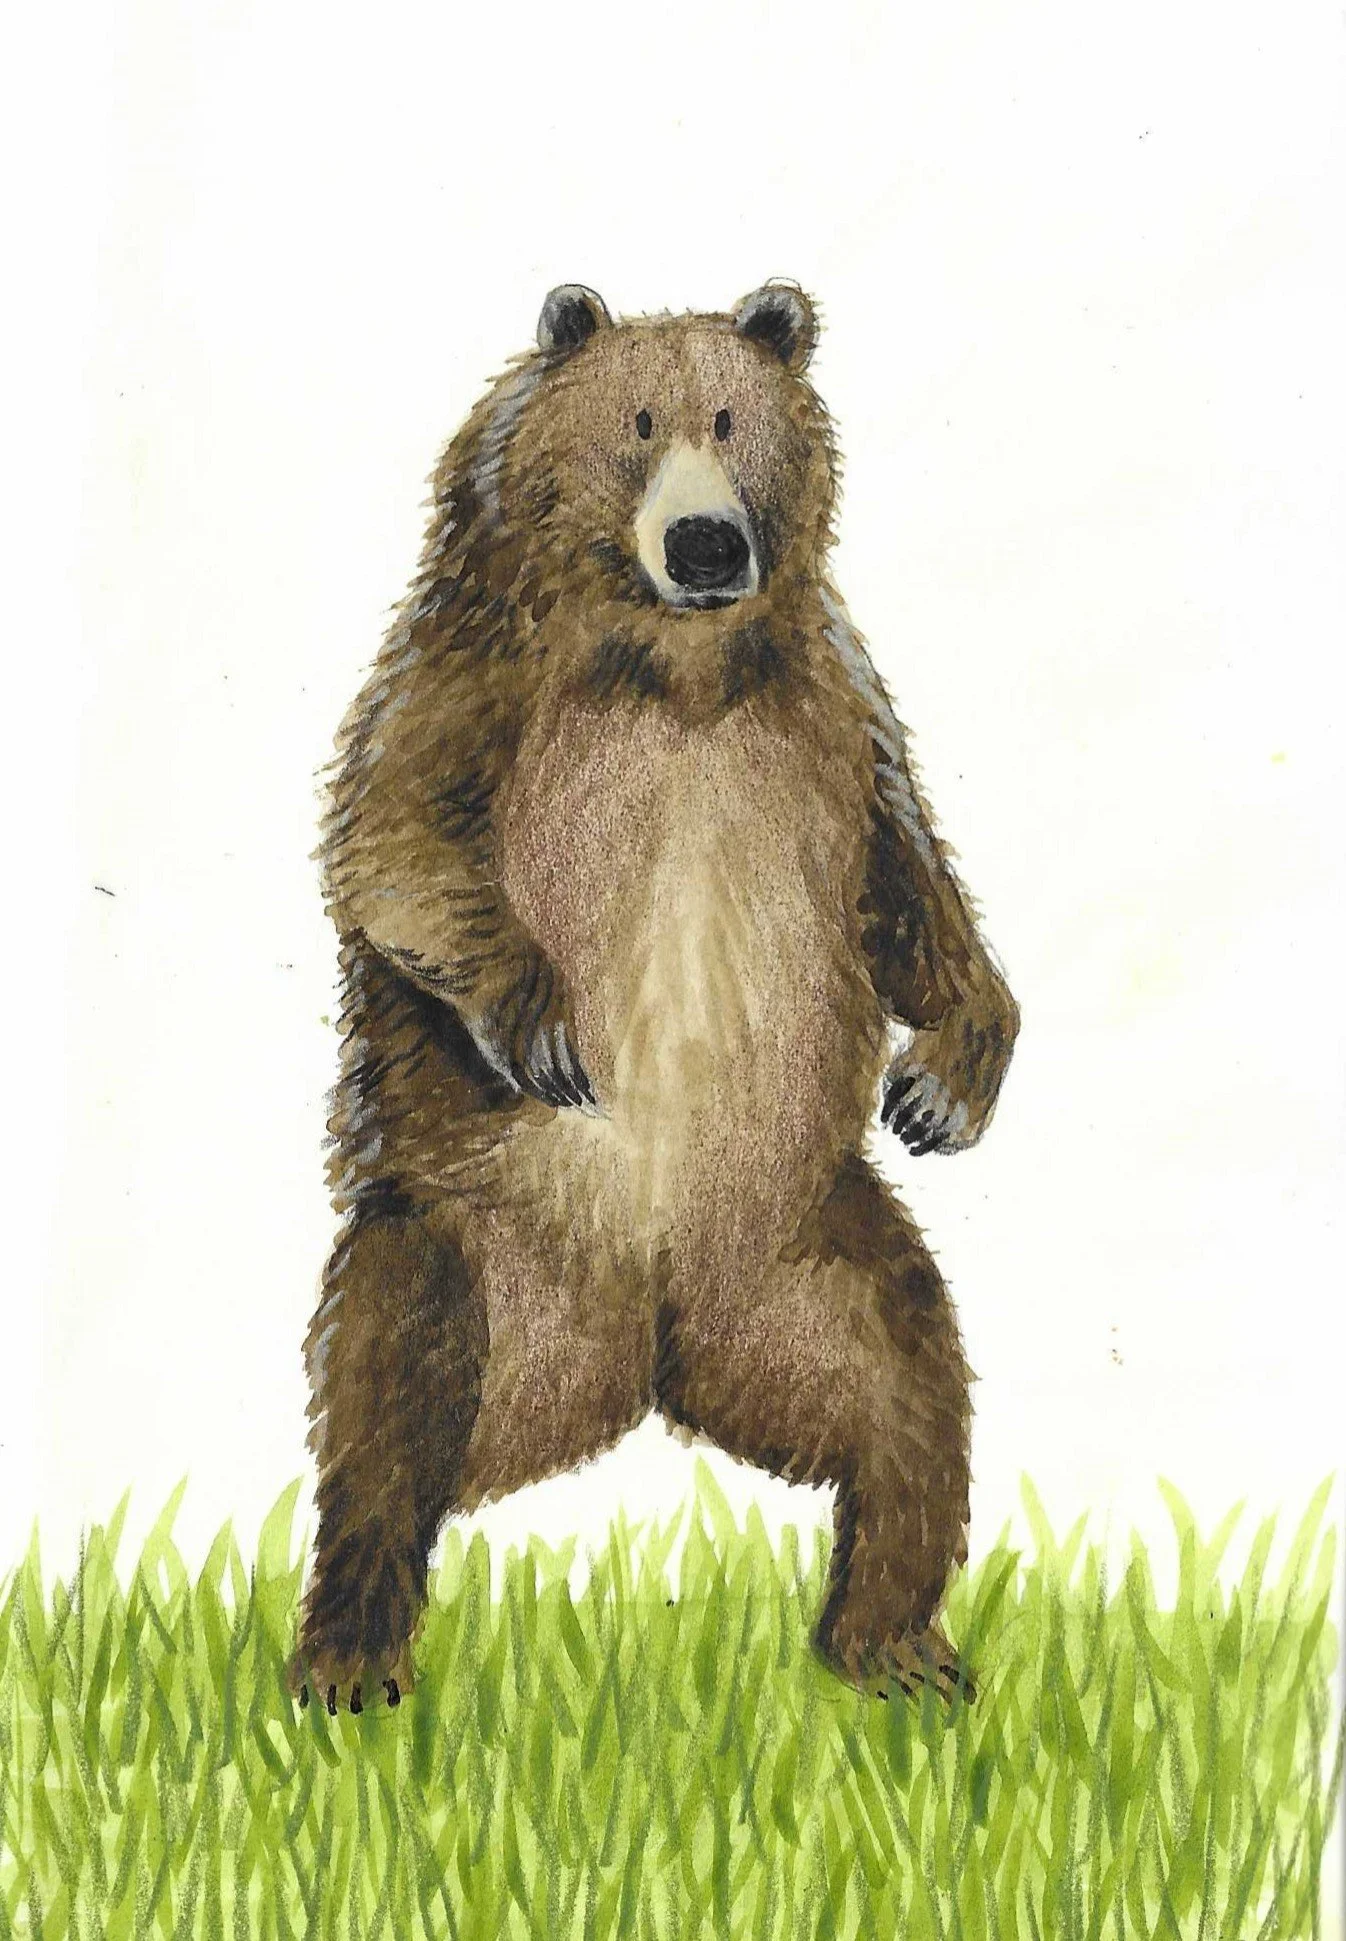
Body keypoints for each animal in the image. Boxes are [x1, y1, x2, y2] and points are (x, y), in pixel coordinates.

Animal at [293, 282, 1018, 1716]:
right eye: (635, 422)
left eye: (730, 419)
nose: (703, 539)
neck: (670, 663)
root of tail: (643, 1349)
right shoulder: (474, 674)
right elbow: (395, 841)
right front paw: (549, 1028)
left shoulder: (828, 706)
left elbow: (906, 880)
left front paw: (942, 1082)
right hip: (462, 1240)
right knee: (384, 1419)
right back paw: (348, 1662)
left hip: (808, 1253)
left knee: (911, 1391)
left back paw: (893, 1648)